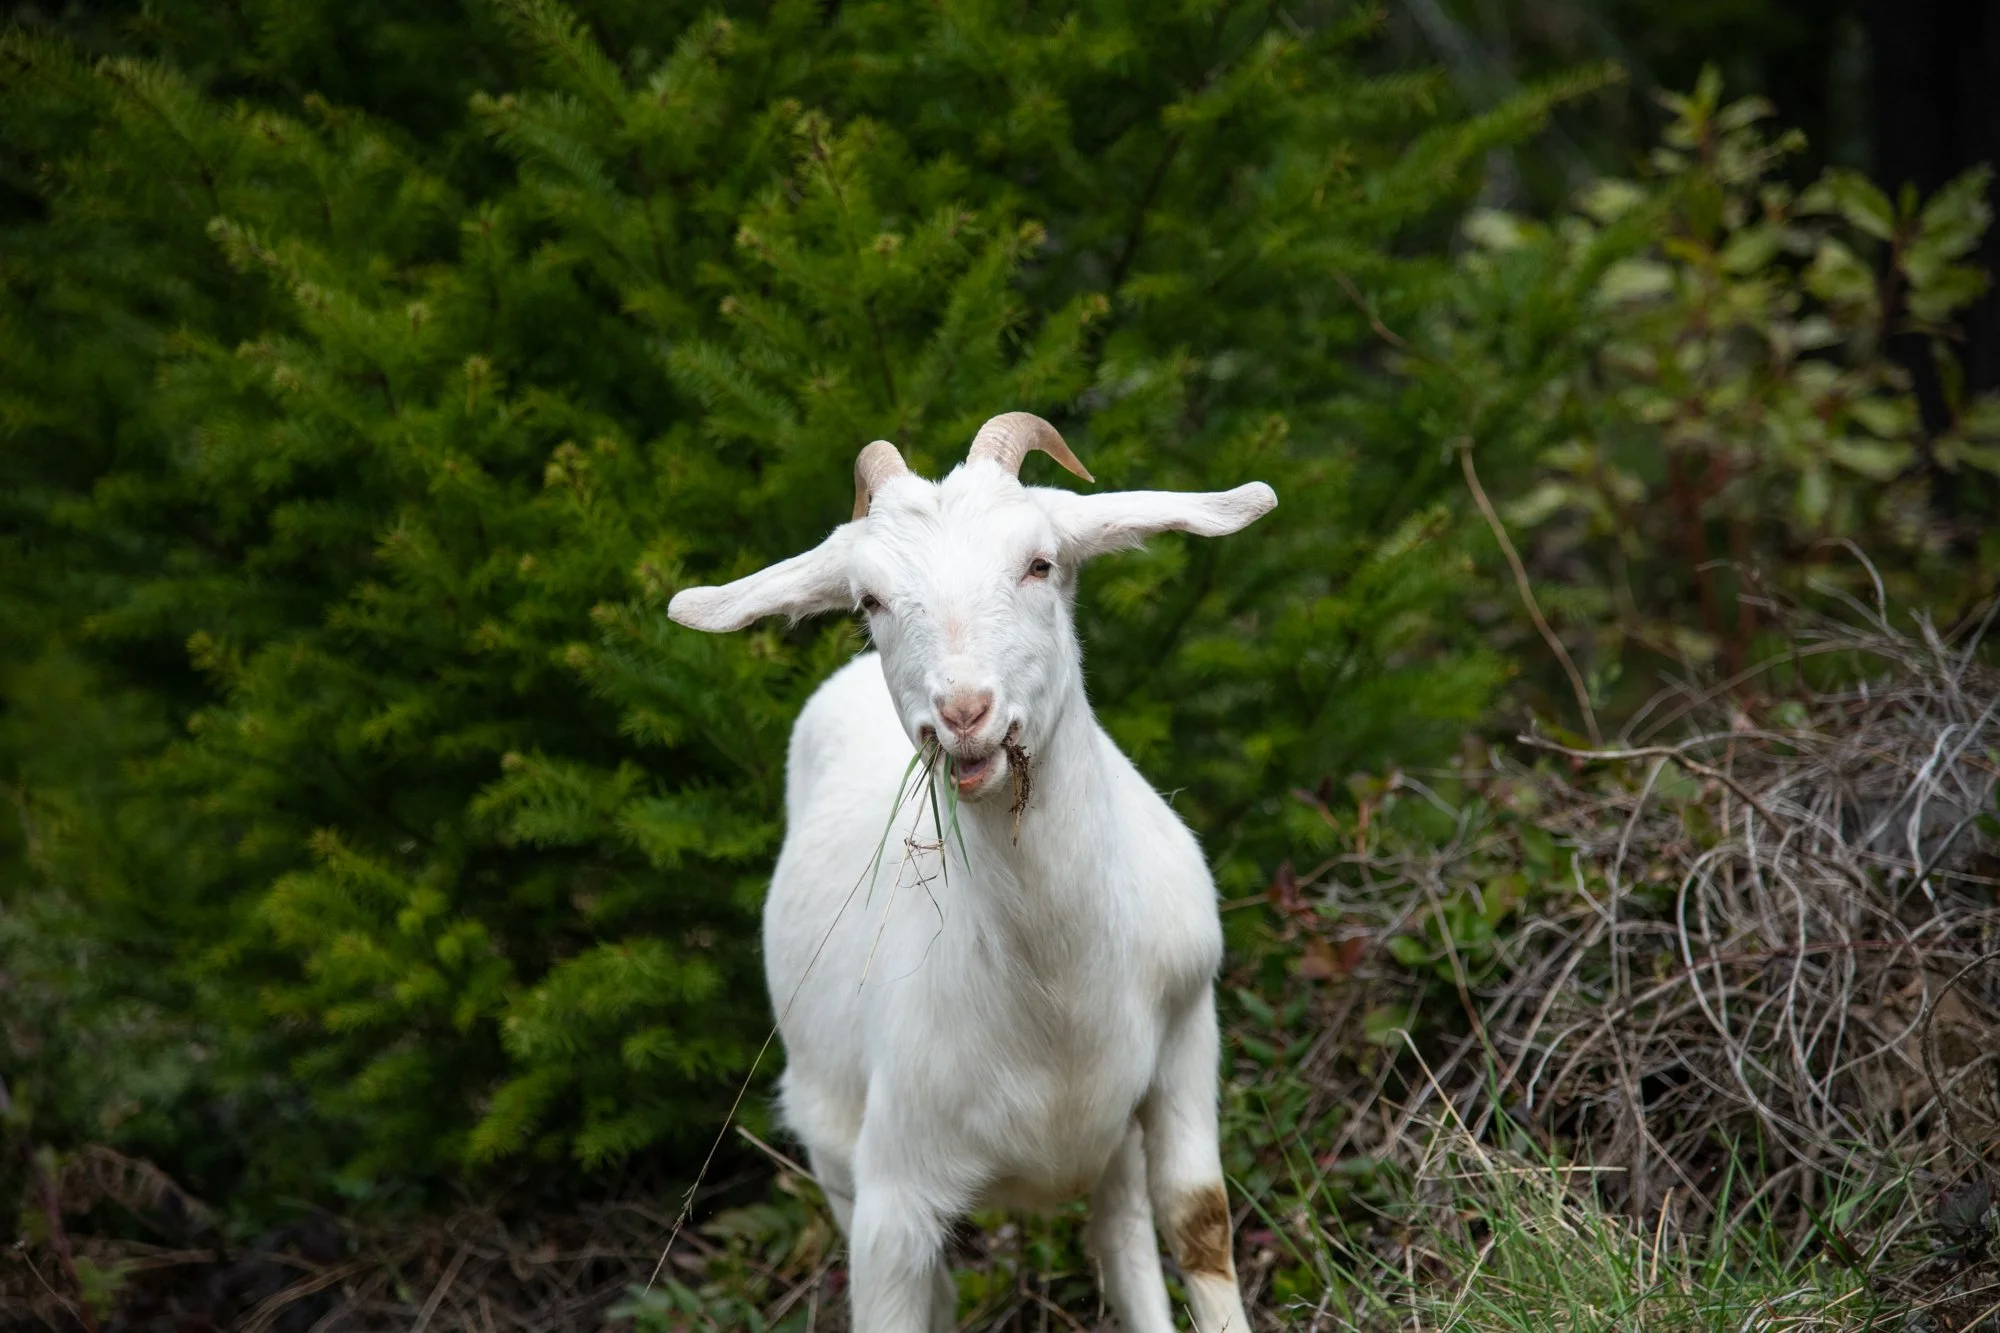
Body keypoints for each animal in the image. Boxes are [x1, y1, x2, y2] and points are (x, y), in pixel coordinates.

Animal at [669, 413, 1275, 1332]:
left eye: (1040, 563)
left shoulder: (1185, 1031)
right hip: (831, 1142)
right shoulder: (893, 1193)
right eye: (869, 600)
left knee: (1123, 1235)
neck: (1060, 995)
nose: (962, 712)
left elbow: (1197, 1221)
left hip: (1109, 1143)